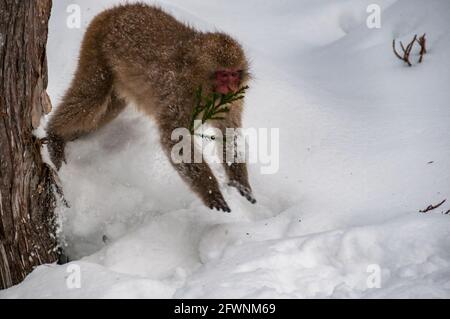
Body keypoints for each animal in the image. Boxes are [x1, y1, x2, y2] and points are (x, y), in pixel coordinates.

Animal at [48, 3, 256, 214]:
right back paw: (53, 134)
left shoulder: (233, 102)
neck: (198, 81)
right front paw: (211, 192)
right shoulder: (178, 94)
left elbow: (229, 134)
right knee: (91, 98)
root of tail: (114, 10)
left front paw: (241, 185)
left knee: (109, 107)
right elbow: (175, 139)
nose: (231, 88)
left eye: (234, 75)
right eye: (223, 75)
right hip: (96, 46)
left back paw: (70, 138)